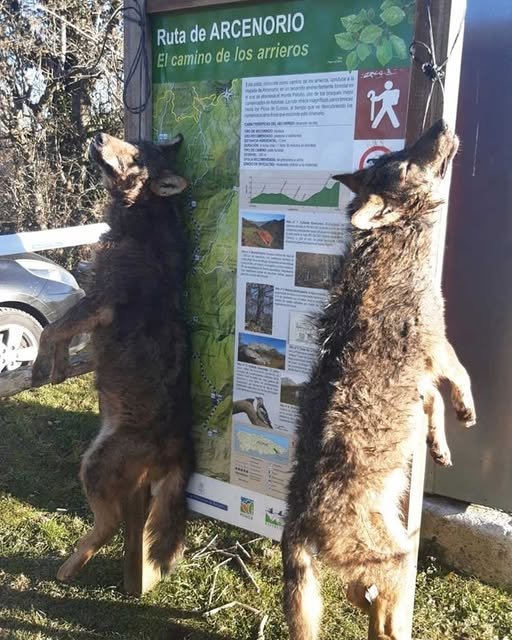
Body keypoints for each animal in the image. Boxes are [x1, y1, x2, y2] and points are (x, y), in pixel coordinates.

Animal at [31, 132, 194, 584]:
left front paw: (40, 368)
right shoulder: (88, 302)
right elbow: (61, 333)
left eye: (136, 155)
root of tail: (180, 452)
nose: (100, 136)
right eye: (136, 140)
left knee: (110, 525)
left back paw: (67, 568)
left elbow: (50, 330)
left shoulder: (98, 304)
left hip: (95, 466)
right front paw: (58, 368)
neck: (140, 224)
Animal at [282, 121, 474, 640]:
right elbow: (461, 376)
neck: (394, 237)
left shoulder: (421, 375)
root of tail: (296, 520)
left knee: (360, 597)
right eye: (405, 162)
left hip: (382, 558)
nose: (440, 125)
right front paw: (467, 410)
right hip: (400, 561)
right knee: (384, 615)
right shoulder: (437, 341)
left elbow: (432, 406)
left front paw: (440, 445)